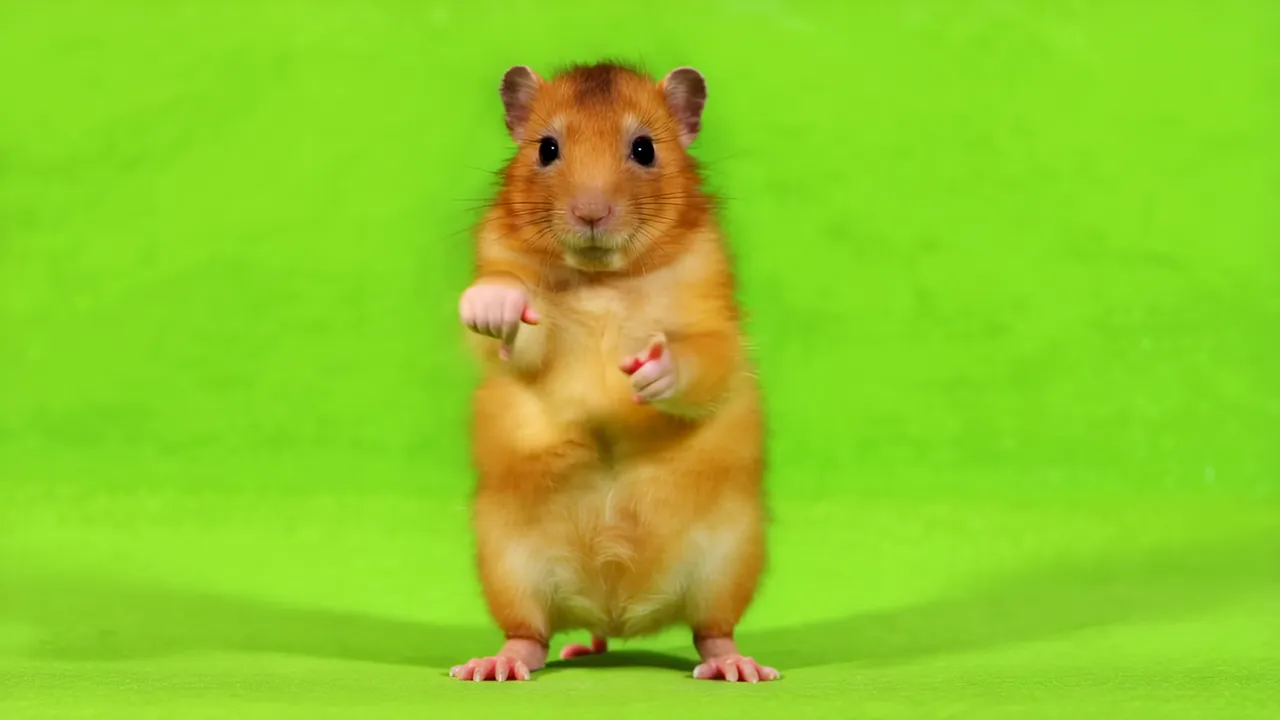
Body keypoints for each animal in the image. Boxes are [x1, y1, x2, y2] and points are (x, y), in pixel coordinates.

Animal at [449, 61, 776, 684]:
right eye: (547, 149)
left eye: (644, 149)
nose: (591, 214)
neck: (603, 278)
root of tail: (618, 613)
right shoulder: (531, 336)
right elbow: (520, 334)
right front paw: (492, 303)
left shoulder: (714, 323)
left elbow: (704, 361)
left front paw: (649, 371)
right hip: (507, 567)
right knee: (530, 634)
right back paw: (499, 664)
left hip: (729, 564)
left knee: (712, 630)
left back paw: (737, 667)